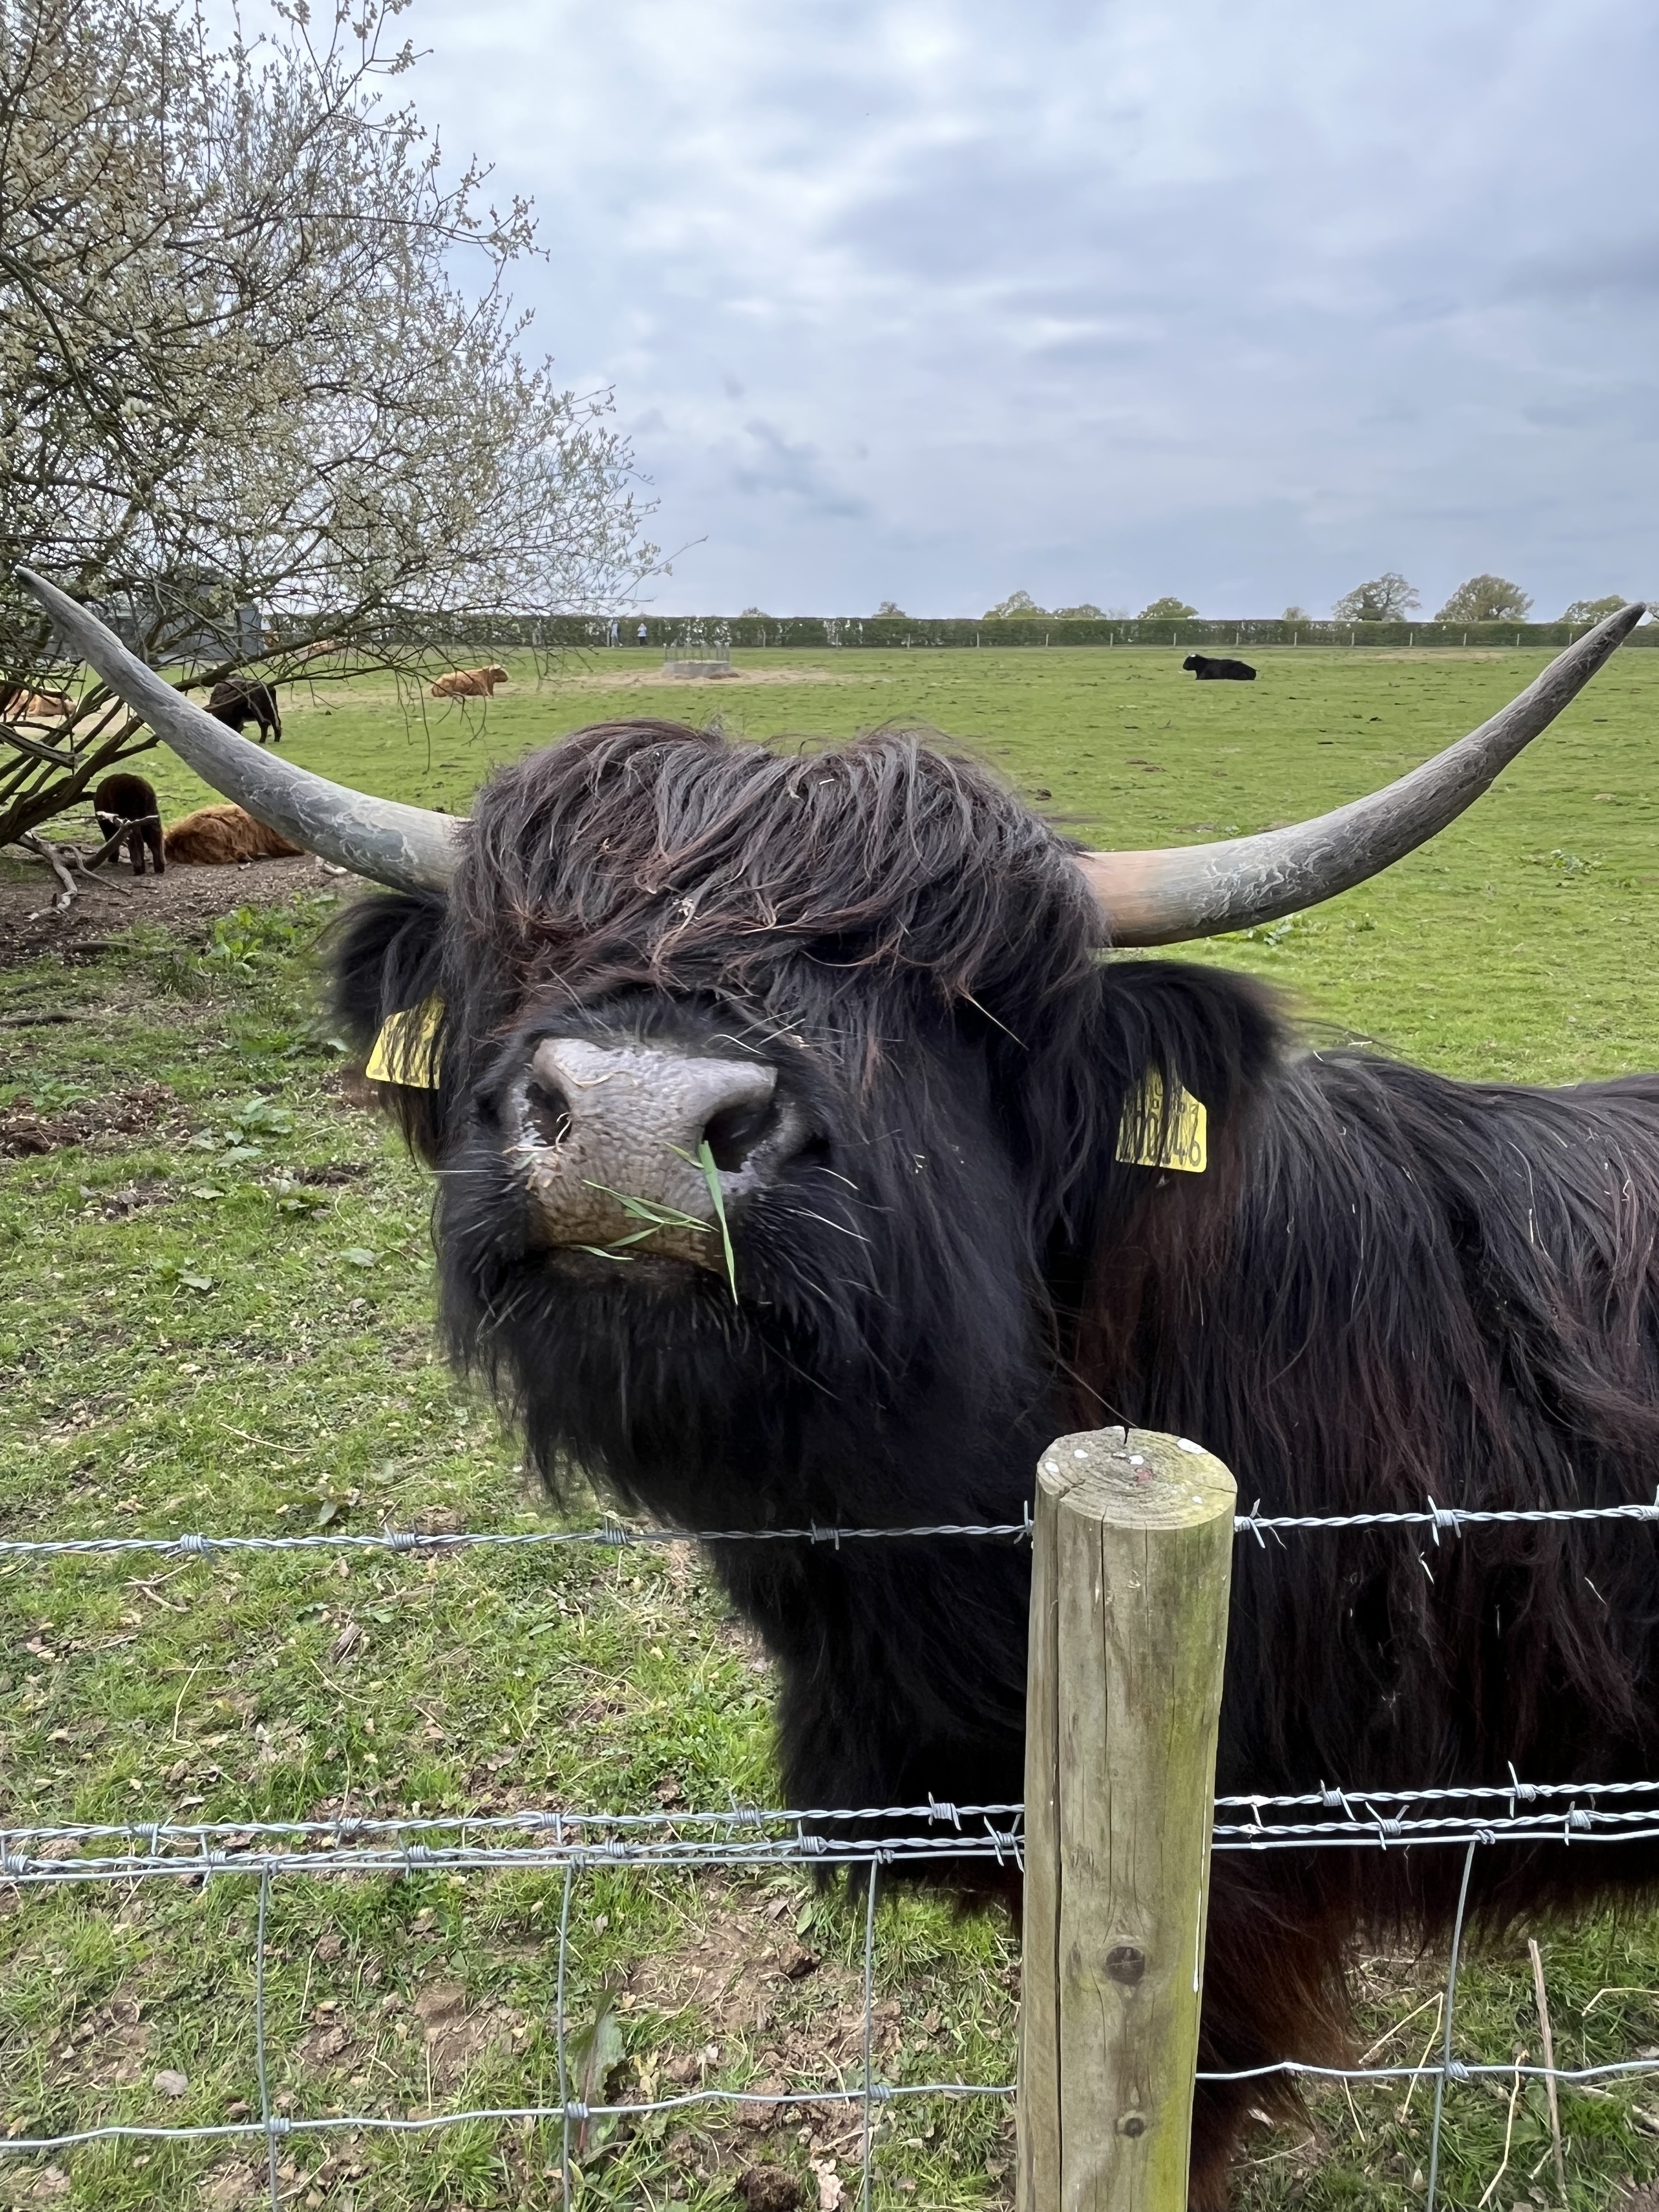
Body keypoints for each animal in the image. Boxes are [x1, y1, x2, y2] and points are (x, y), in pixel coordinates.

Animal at [92, 772, 165, 876]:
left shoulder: (107, 826)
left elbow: (111, 841)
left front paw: (113, 858)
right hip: (151, 813)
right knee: (155, 837)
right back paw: (160, 867)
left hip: (130, 815)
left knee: (136, 839)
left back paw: (139, 868)